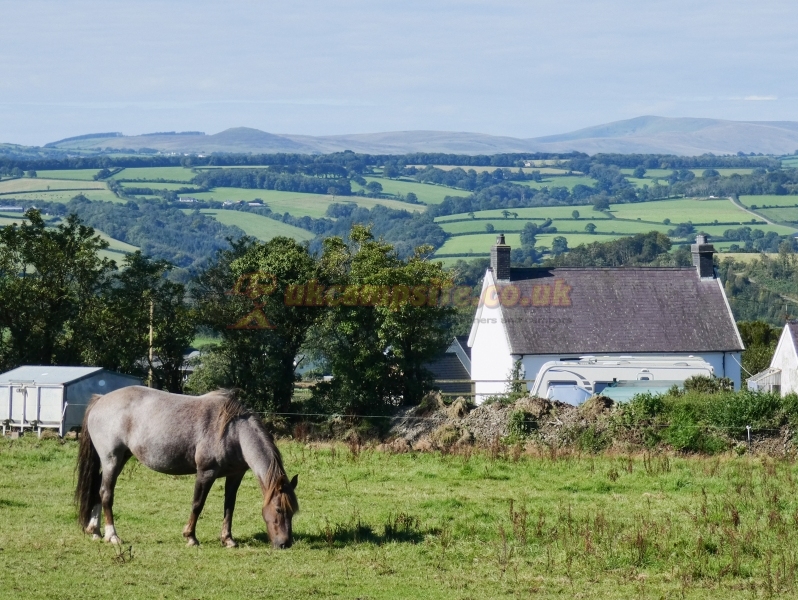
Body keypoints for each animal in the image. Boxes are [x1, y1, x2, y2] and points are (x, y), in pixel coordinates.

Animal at [74, 384, 300, 548]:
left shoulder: (235, 475)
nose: (285, 543)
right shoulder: (206, 472)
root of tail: (101, 399)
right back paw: (112, 535)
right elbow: (197, 504)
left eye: (293, 511)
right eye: (279, 509)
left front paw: (228, 539)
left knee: (97, 490)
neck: (233, 431)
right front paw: (190, 537)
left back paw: (95, 531)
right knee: (106, 494)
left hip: (120, 459)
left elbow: (229, 507)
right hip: (111, 459)